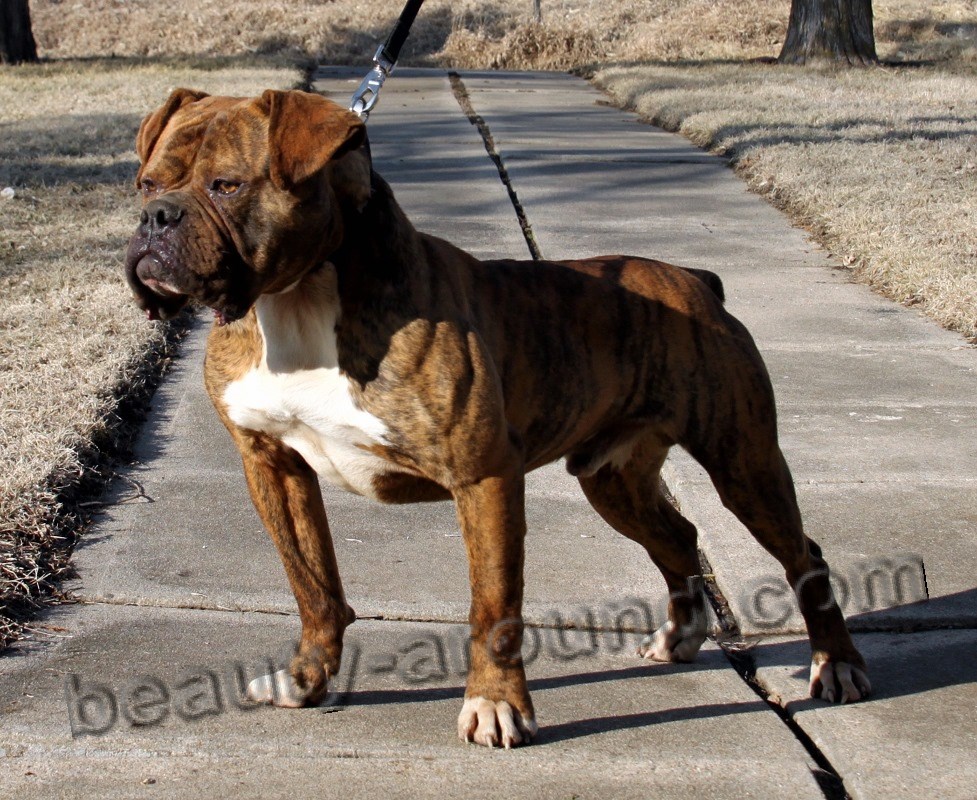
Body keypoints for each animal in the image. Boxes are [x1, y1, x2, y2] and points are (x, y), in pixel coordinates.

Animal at [124, 89, 868, 752]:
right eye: (148, 182)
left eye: (226, 185)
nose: (155, 218)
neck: (298, 300)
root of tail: (695, 280)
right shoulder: (273, 466)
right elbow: (312, 584)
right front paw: (307, 679)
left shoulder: (483, 480)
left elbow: (492, 603)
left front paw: (495, 705)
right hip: (614, 481)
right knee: (679, 536)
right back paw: (680, 637)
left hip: (743, 464)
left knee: (802, 554)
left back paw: (837, 666)